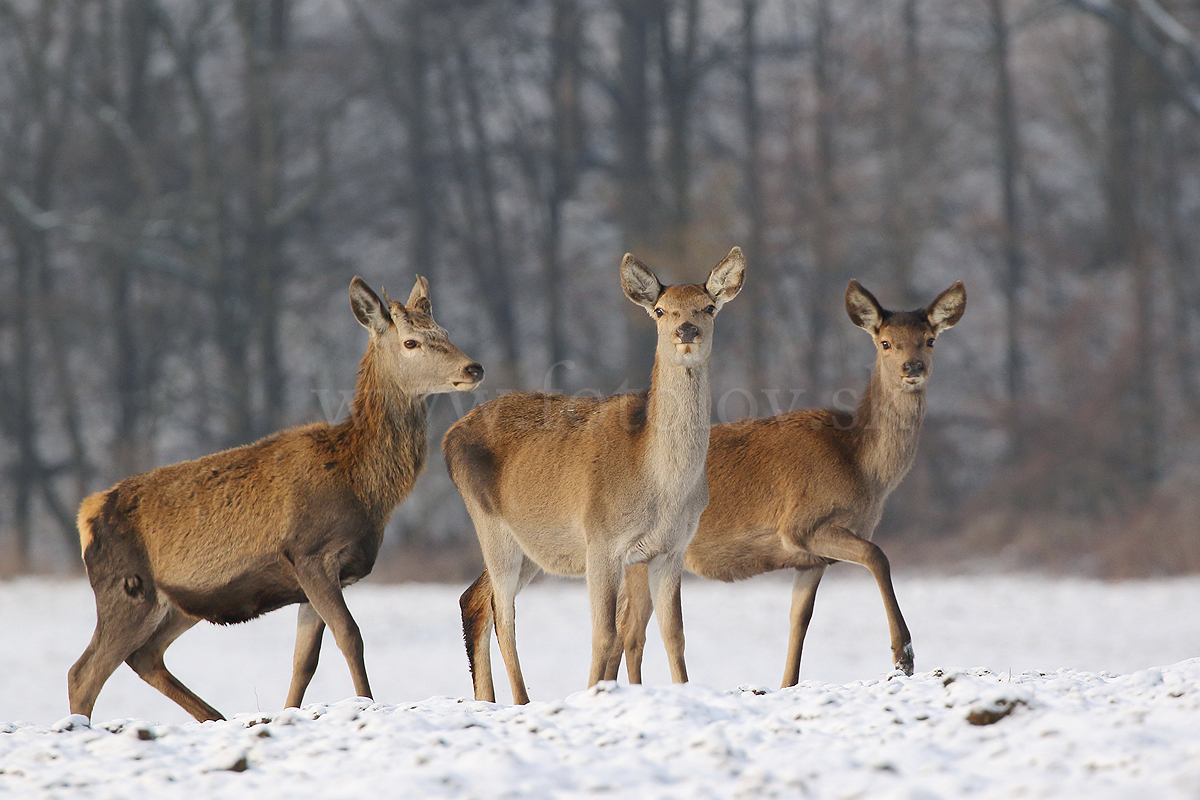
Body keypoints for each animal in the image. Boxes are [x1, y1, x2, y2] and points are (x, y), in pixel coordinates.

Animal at [69, 275, 482, 724]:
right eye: (411, 342)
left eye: (445, 332)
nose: (473, 368)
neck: (362, 487)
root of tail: (86, 516)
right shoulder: (309, 552)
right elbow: (351, 636)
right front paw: (367, 704)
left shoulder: (318, 576)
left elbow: (305, 661)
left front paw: (289, 713)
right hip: (124, 588)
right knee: (84, 672)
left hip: (177, 602)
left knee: (145, 656)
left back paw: (215, 717)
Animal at [446, 247, 744, 705]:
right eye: (661, 310)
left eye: (708, 306)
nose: (687, 329)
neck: (662, 486)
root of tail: (447, 438)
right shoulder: (601, 541)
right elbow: (604, 635)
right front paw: (593, 694)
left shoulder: (671, 549)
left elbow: (673, 634)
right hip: (491, 525)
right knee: (504, 616)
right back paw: (522, 700)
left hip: (532, 544)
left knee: (474, 599)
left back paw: (487, 699)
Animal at [609, 280, 964, 690]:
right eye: (886, 342)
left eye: (929, 339)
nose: (913, 367)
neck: (863, 470)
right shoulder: (801, 524)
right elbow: (878, 555)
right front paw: (902, 657)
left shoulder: (811, 560)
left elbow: (800, 619)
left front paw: (787, 684)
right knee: (630, 630)